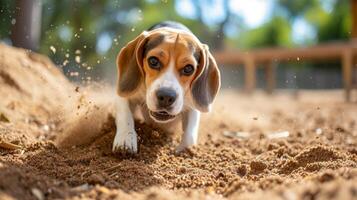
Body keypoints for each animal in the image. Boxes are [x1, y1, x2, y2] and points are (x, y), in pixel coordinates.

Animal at [114, 21, 220, 153]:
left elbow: (190, 133)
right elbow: (125, 115)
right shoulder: (125, 94)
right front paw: (125, 140)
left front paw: (186, 150)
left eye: (188, 68)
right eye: (153, 61)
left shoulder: (192, 106)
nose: (166, 97)